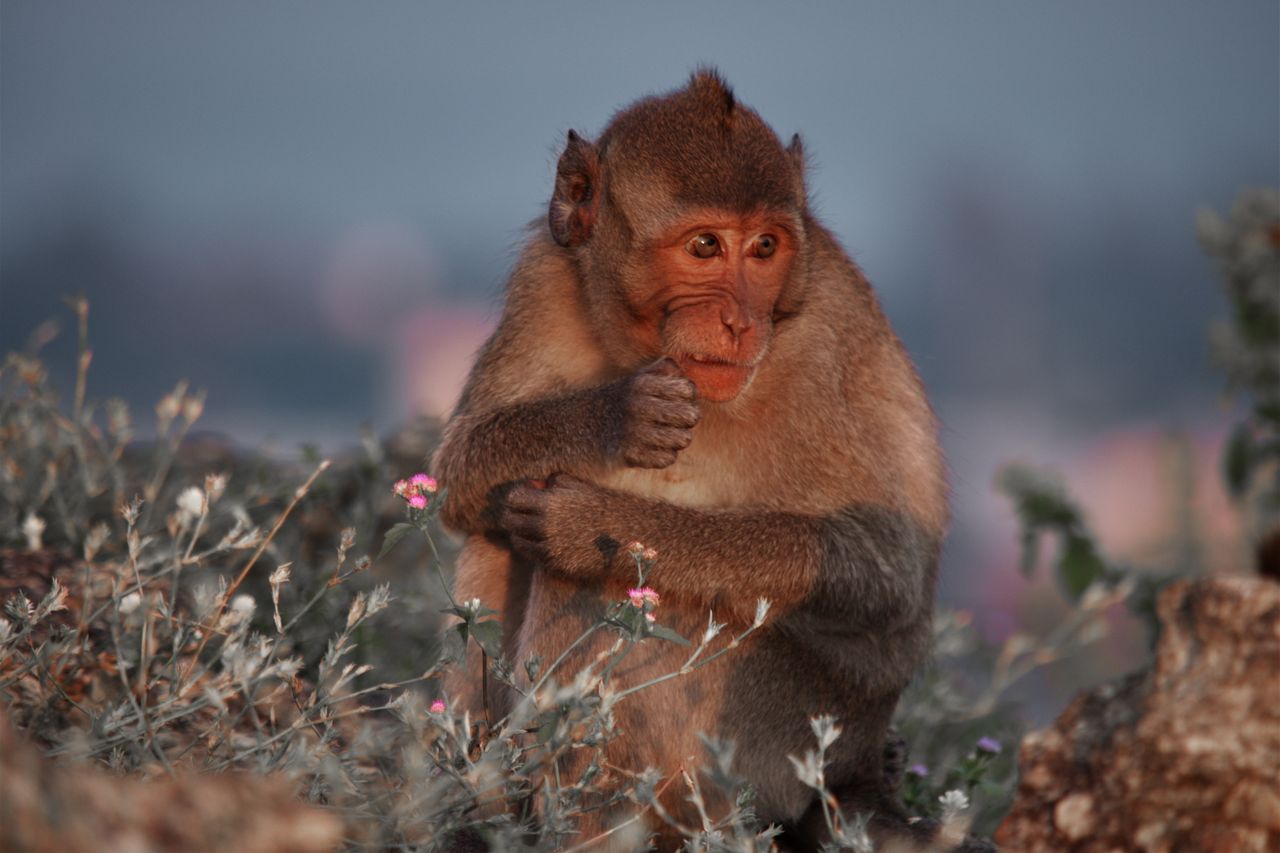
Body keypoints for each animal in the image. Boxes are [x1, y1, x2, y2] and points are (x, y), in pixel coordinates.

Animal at [432, 70, 955, 851]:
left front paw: (591, 521)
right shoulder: (547, 281)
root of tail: (856, 768)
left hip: (784, 734)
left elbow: (887, 567)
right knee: (495, 539)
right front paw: (615, 413)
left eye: (764, 247)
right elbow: (460, 473)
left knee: (601, 591)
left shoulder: (828, 338)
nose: (741, 320)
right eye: (705, 245)